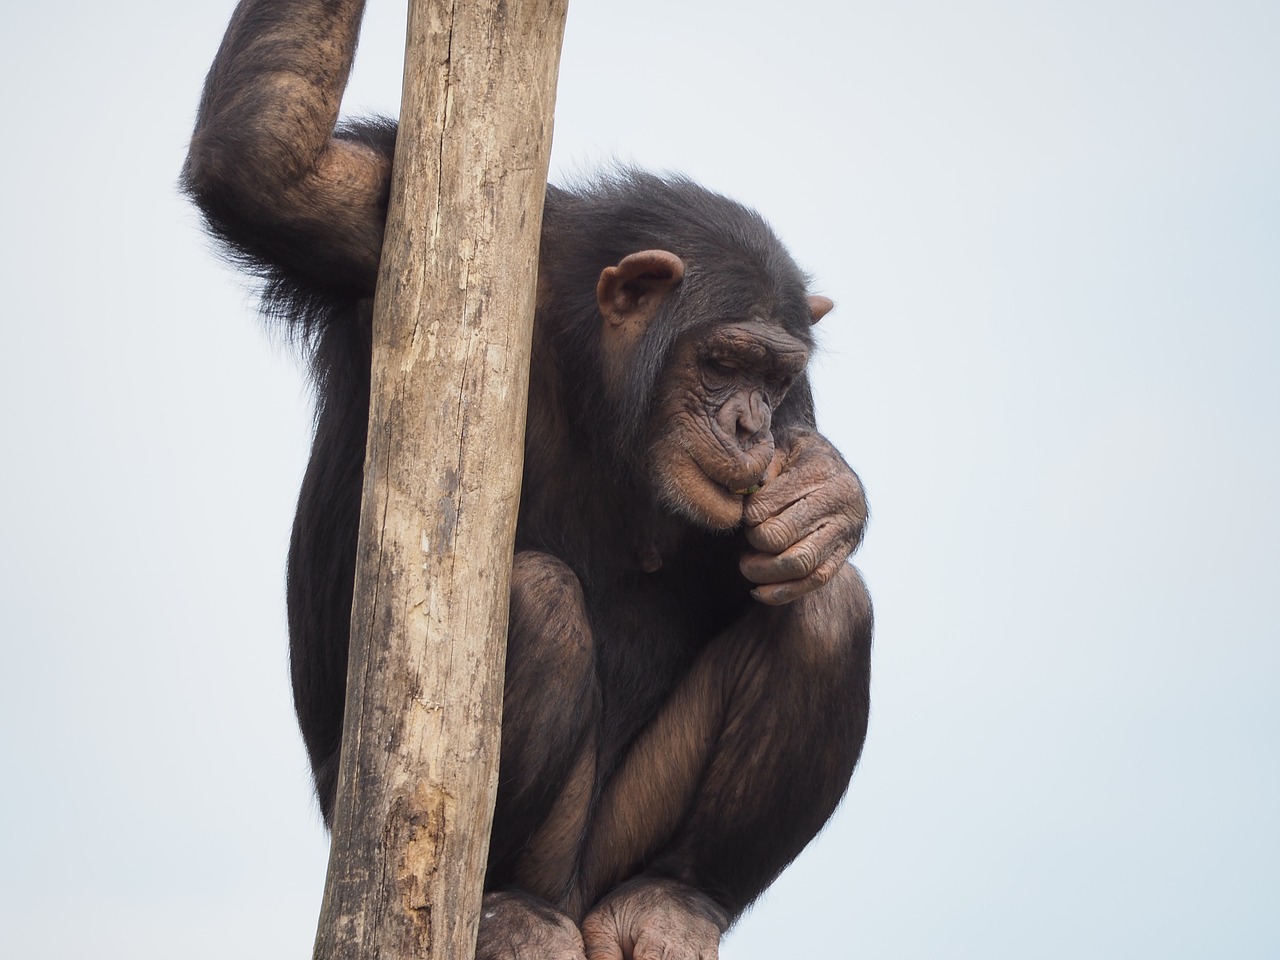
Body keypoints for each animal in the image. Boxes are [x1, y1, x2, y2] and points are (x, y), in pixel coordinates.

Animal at [185, 0, 875, 957]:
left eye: (771, 380)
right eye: (722, 362)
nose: (747, 425)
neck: (594, 370)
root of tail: (581, 904)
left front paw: (824, 497)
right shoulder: (374, 218)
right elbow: (272, 170)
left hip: (621, 844)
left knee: (826, 609)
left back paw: (677, 898)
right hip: (449, 836)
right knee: (539, 604)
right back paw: (505, 904)